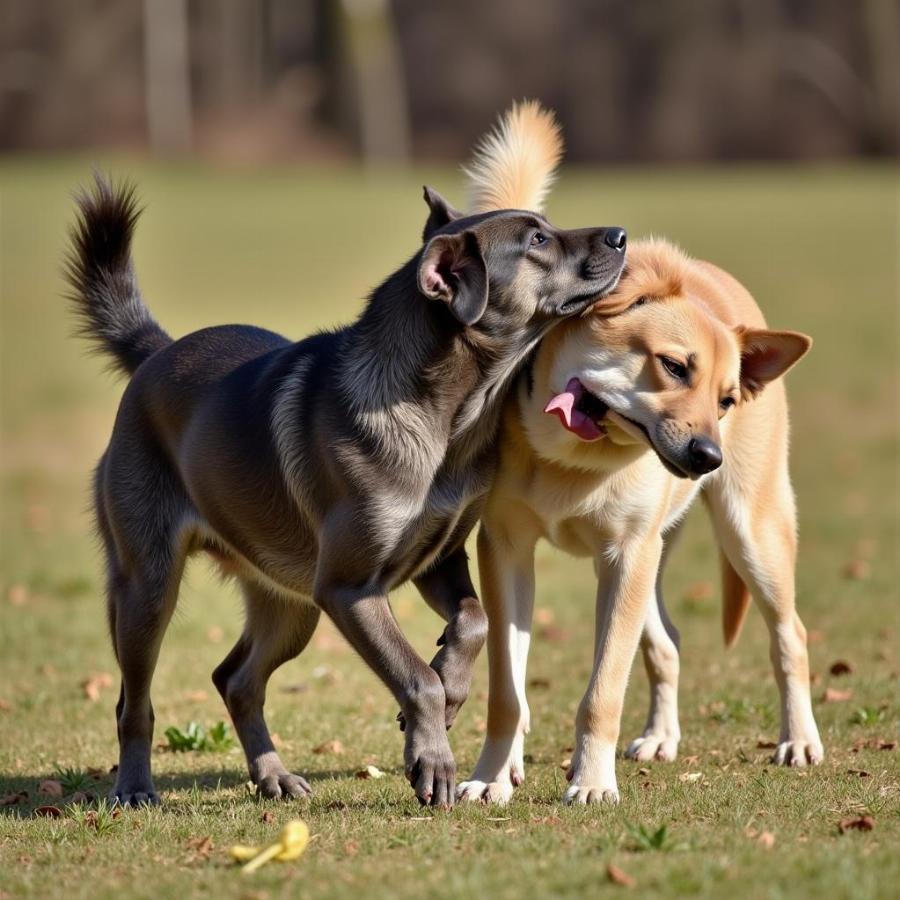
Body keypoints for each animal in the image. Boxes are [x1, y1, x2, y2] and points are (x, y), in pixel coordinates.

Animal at [65, 176, 624, 808]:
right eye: (536, 240)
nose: (621, 235)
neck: (443, 417)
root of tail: (157, 352)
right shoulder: (349, 589)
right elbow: (414, 677)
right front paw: (432, 760)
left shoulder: (439, 560)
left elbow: (474, 622)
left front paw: (452, 690)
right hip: (149, 587)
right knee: (133, 702)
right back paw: (136, 787)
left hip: (290, 604)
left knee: (236, 680)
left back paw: (274, 777)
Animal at [458, 103, 824, 800]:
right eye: (674, 367)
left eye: (726, 399)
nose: (708, 455)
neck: (571, 460)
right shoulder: (506, 549)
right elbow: (507, 691)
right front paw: (491, 776)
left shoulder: (628, 553)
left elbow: (603, 690)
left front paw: (592, 783)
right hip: (655, 558)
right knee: (669, 640)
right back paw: (658, 737)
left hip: (748, 531)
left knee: (789, 634)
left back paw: (798, 740)